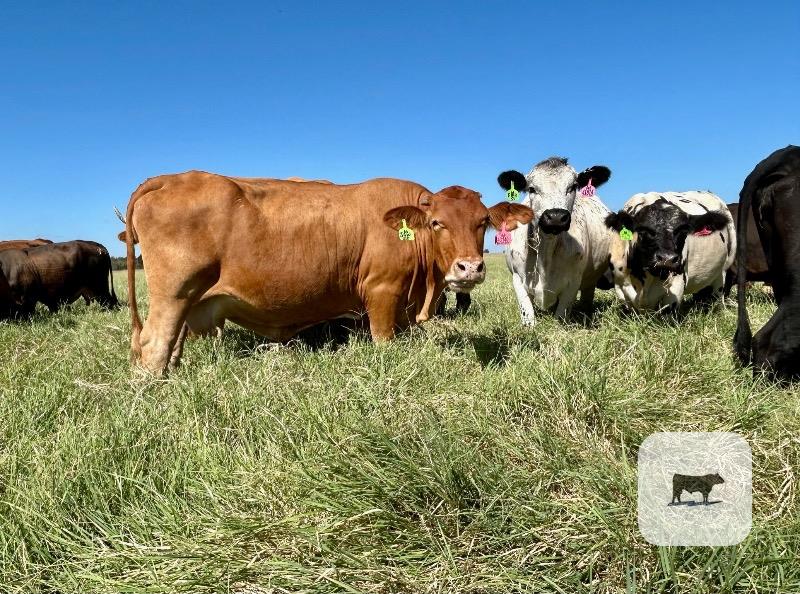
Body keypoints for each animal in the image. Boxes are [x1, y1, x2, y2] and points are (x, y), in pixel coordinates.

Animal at [120, 171, 534, 374]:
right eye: (437, 223)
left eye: (482, 222)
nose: (470, 268)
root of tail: (172, 176)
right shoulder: (382, 293)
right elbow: (384, 342)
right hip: (173, 293)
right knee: (154, 346)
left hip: (187, 301)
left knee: (171, 345)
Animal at [496, 157, 613, 324]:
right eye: (532, 189)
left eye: (573, 186)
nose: (556, 217)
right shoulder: (517, 278)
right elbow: (527, 314)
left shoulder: (573, 283)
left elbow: (561, 316)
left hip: (589, 282)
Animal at [604, 192, 733, 311]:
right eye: (643, 229)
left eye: (683, 229)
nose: (667, 259)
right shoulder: (621, 288)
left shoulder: (676, 287)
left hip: (721, 274)